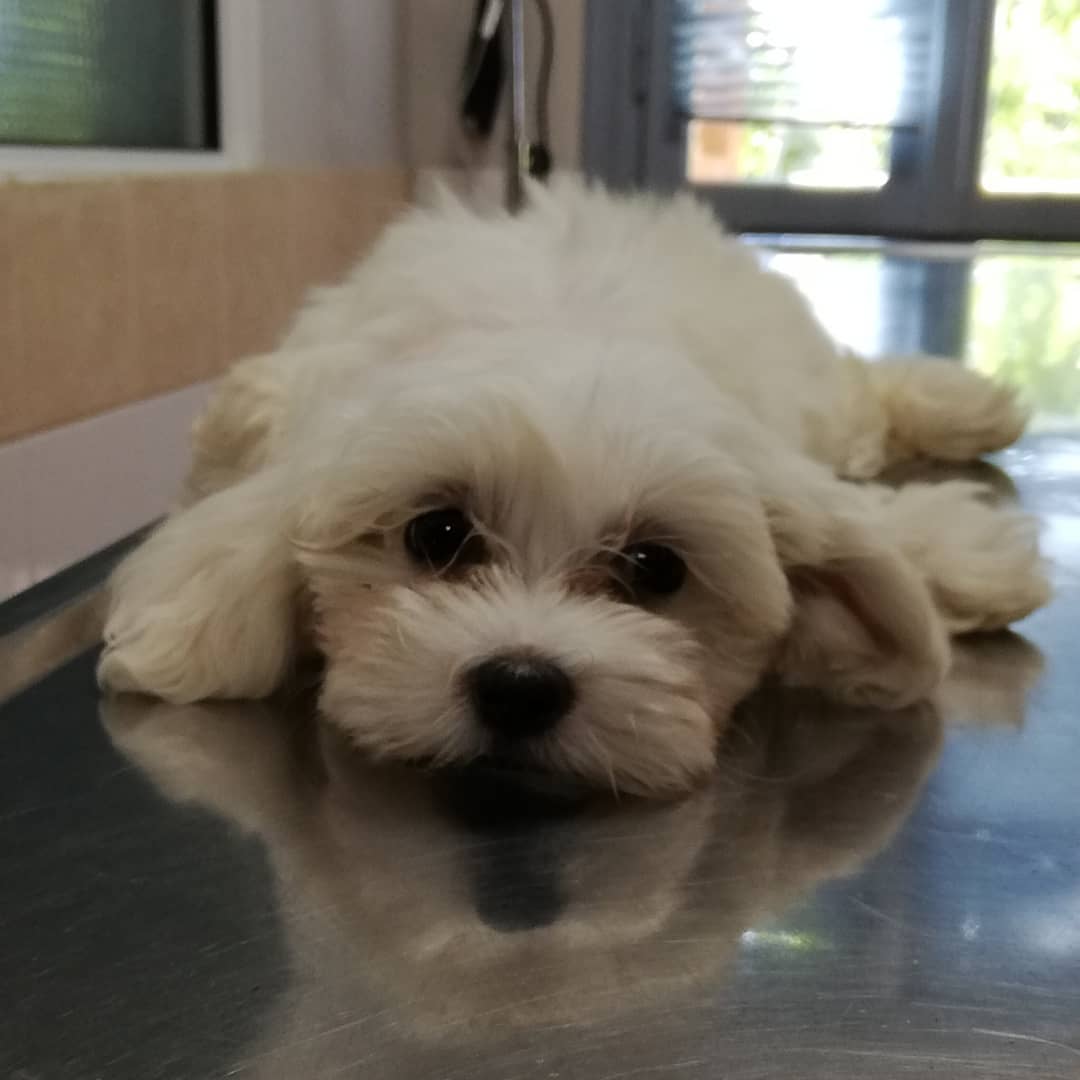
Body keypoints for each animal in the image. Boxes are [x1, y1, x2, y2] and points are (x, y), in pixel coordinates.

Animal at [99, 181, 1045, 799]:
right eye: (437, 535)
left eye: (656, 569)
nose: (520, 685)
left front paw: (962, 559)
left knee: (859, 395)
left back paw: (966, 407)